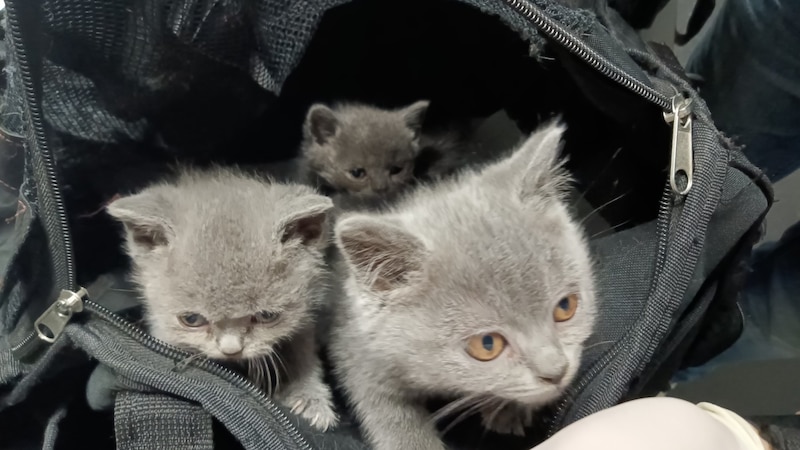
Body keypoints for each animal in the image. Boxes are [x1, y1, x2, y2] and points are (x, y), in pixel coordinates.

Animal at [108, 166, 340, 432]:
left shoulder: (303, 322)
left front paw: (310, 397)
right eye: (192, 319)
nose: (231, 349)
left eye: (266, 316)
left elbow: (302, 354)